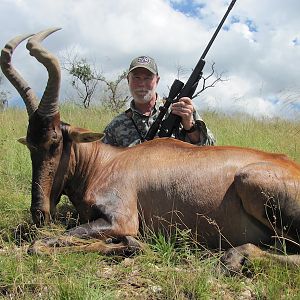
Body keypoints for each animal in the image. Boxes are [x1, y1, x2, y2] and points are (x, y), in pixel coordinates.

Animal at [2, 28, 300, 272]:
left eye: (54, 142)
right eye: (31, 144)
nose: (39, 213)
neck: (108, 162)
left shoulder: (120, 220)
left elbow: (42, 244)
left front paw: (133, 246)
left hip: (253, 184)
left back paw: (234, 257)